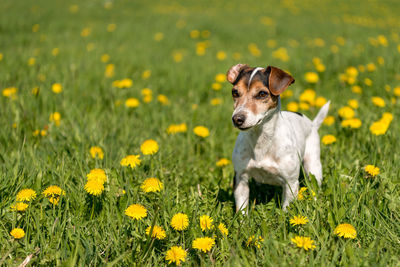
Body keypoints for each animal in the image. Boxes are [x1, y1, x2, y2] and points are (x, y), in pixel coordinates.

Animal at [227, 63, 330, 213]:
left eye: (262, 94)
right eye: (235, 92)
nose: (237, 119)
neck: (261, 140)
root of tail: (312, 124)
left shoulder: (290, 183)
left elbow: (287, 209)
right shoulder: (241, 179)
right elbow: (242, 209)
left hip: (313, 166)